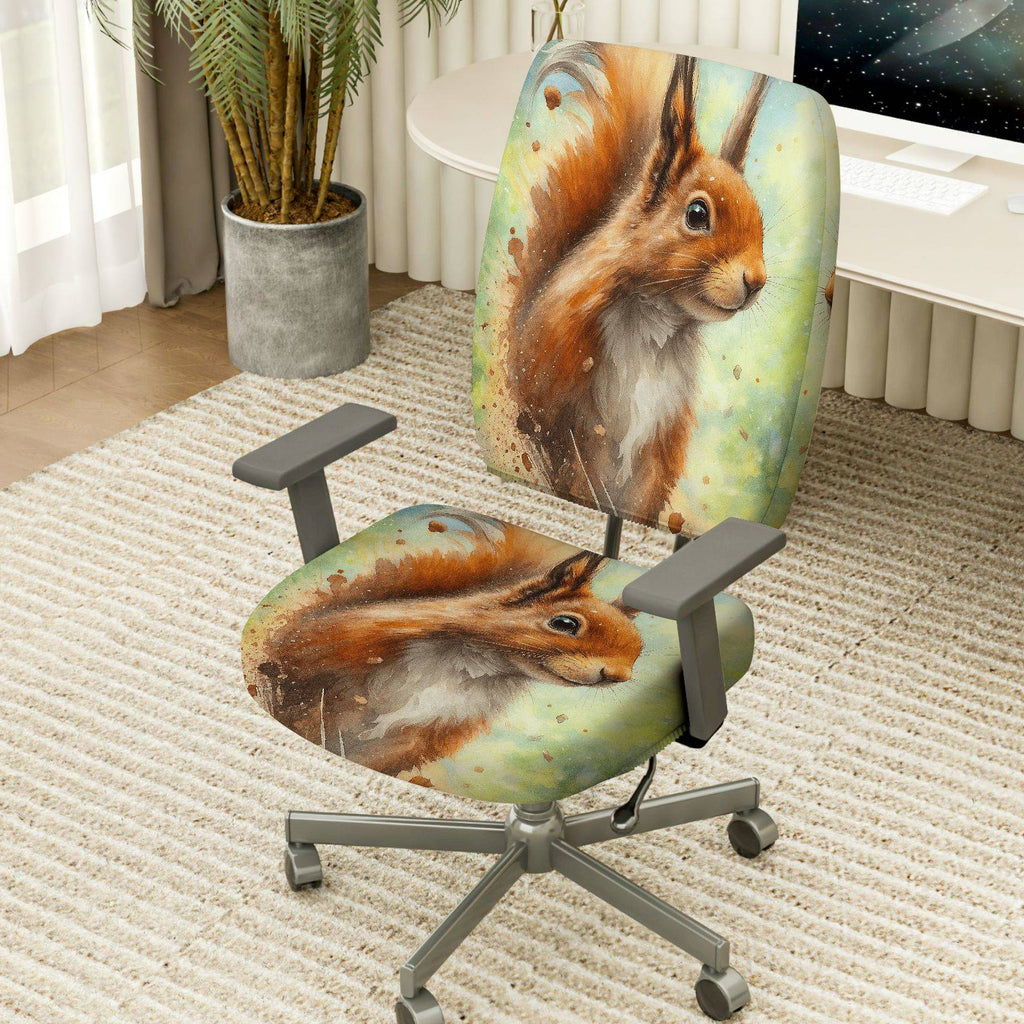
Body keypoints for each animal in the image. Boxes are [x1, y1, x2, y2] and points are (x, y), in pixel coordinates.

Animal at [503, 44, 771, 525]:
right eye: (697, 214)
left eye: (761, 218)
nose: (756, 281)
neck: (656, 321)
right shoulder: (574, 415)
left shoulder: (661, 439)